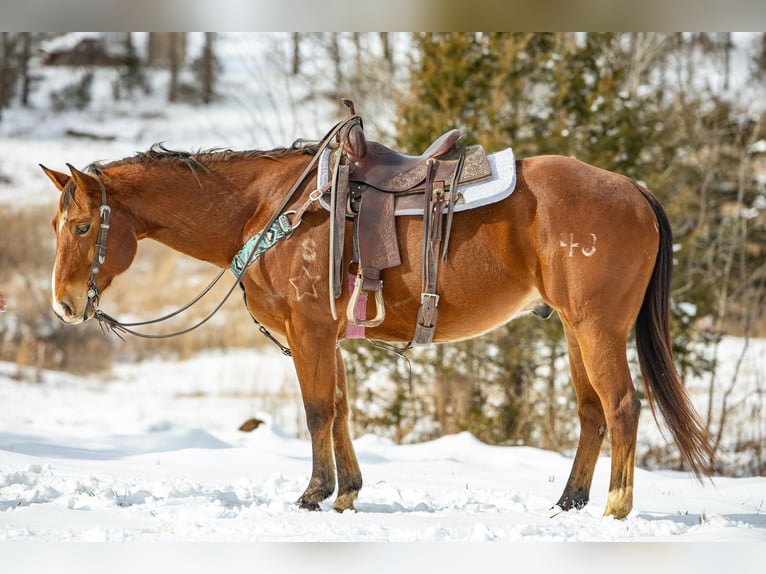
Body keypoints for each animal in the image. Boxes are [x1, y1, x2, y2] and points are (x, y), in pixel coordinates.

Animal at [40, 127, 712, 520]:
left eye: (83, 227)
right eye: (57, 226)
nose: (65, 305)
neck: (271, 209)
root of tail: (634, 190)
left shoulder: (309, 330)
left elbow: (316, 410)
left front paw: (313, 493)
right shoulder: (328, 337)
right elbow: (340, 410)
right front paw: (348, 491)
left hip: (598, 328)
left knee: (622, 406)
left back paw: (616, 507)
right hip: (573, 329)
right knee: (592, 411)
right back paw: (569, 501)